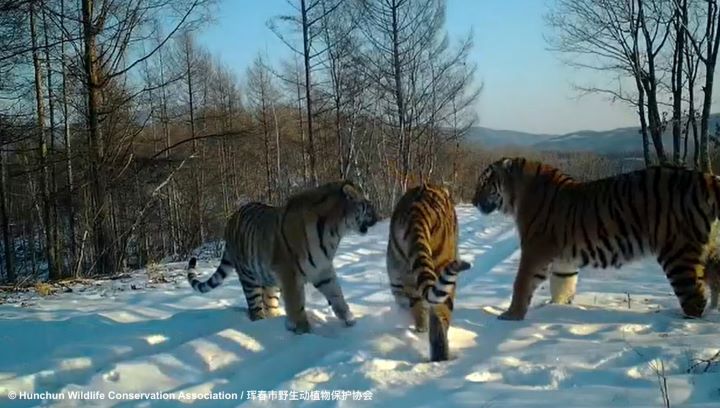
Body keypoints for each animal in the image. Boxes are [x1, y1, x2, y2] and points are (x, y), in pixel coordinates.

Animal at [188, 181, 379, 333]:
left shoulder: (322, 269)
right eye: (368, 205)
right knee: (255, 309)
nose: (378, 217)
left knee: (269, 303)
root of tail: (230, 221)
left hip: (270, 281)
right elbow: (296, 305)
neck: (335, 232)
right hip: (249, 278)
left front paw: (351, 321)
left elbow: (337, 296)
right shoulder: (290, 273)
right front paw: (303, 332)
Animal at [472, 157, 720, 321]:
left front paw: (510, 315)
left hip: (677, 252)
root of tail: (706, 178)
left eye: (484, 184)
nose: (473, 201)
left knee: (694, 298)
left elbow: (521, 282)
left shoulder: (535, 249)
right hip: (707, 251)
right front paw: (557, 308)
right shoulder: (563, 259)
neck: (516, 194)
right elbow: (563, 284)